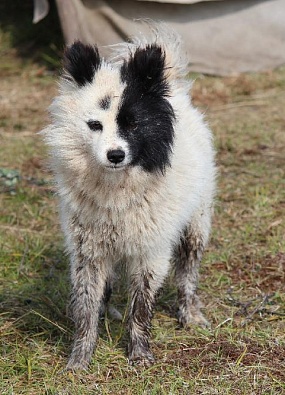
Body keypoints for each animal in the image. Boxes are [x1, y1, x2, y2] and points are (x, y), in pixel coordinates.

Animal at [42, 24, 215, 372]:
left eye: (133, 124)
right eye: (94, 125)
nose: (115, 155)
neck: (117, 187)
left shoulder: (151, 252)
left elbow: (141, 308)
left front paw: (139, 354)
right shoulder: (88, 252)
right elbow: (85, 307)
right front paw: (80, 359)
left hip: (196, 225)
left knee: (187, 275)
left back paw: (190, 315)